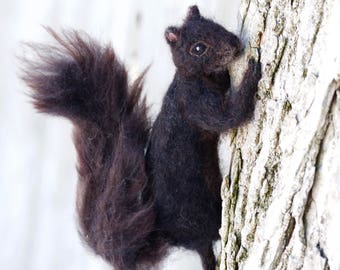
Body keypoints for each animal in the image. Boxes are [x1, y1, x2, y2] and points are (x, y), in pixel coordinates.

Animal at [21, 4, 260, 270]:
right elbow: (226, 116)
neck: (197, 77)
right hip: (200, 213)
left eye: (216, 25)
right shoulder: (193, 101)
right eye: (198, 48)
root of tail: (178, 238)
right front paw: (252, 73)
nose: (235, 44)